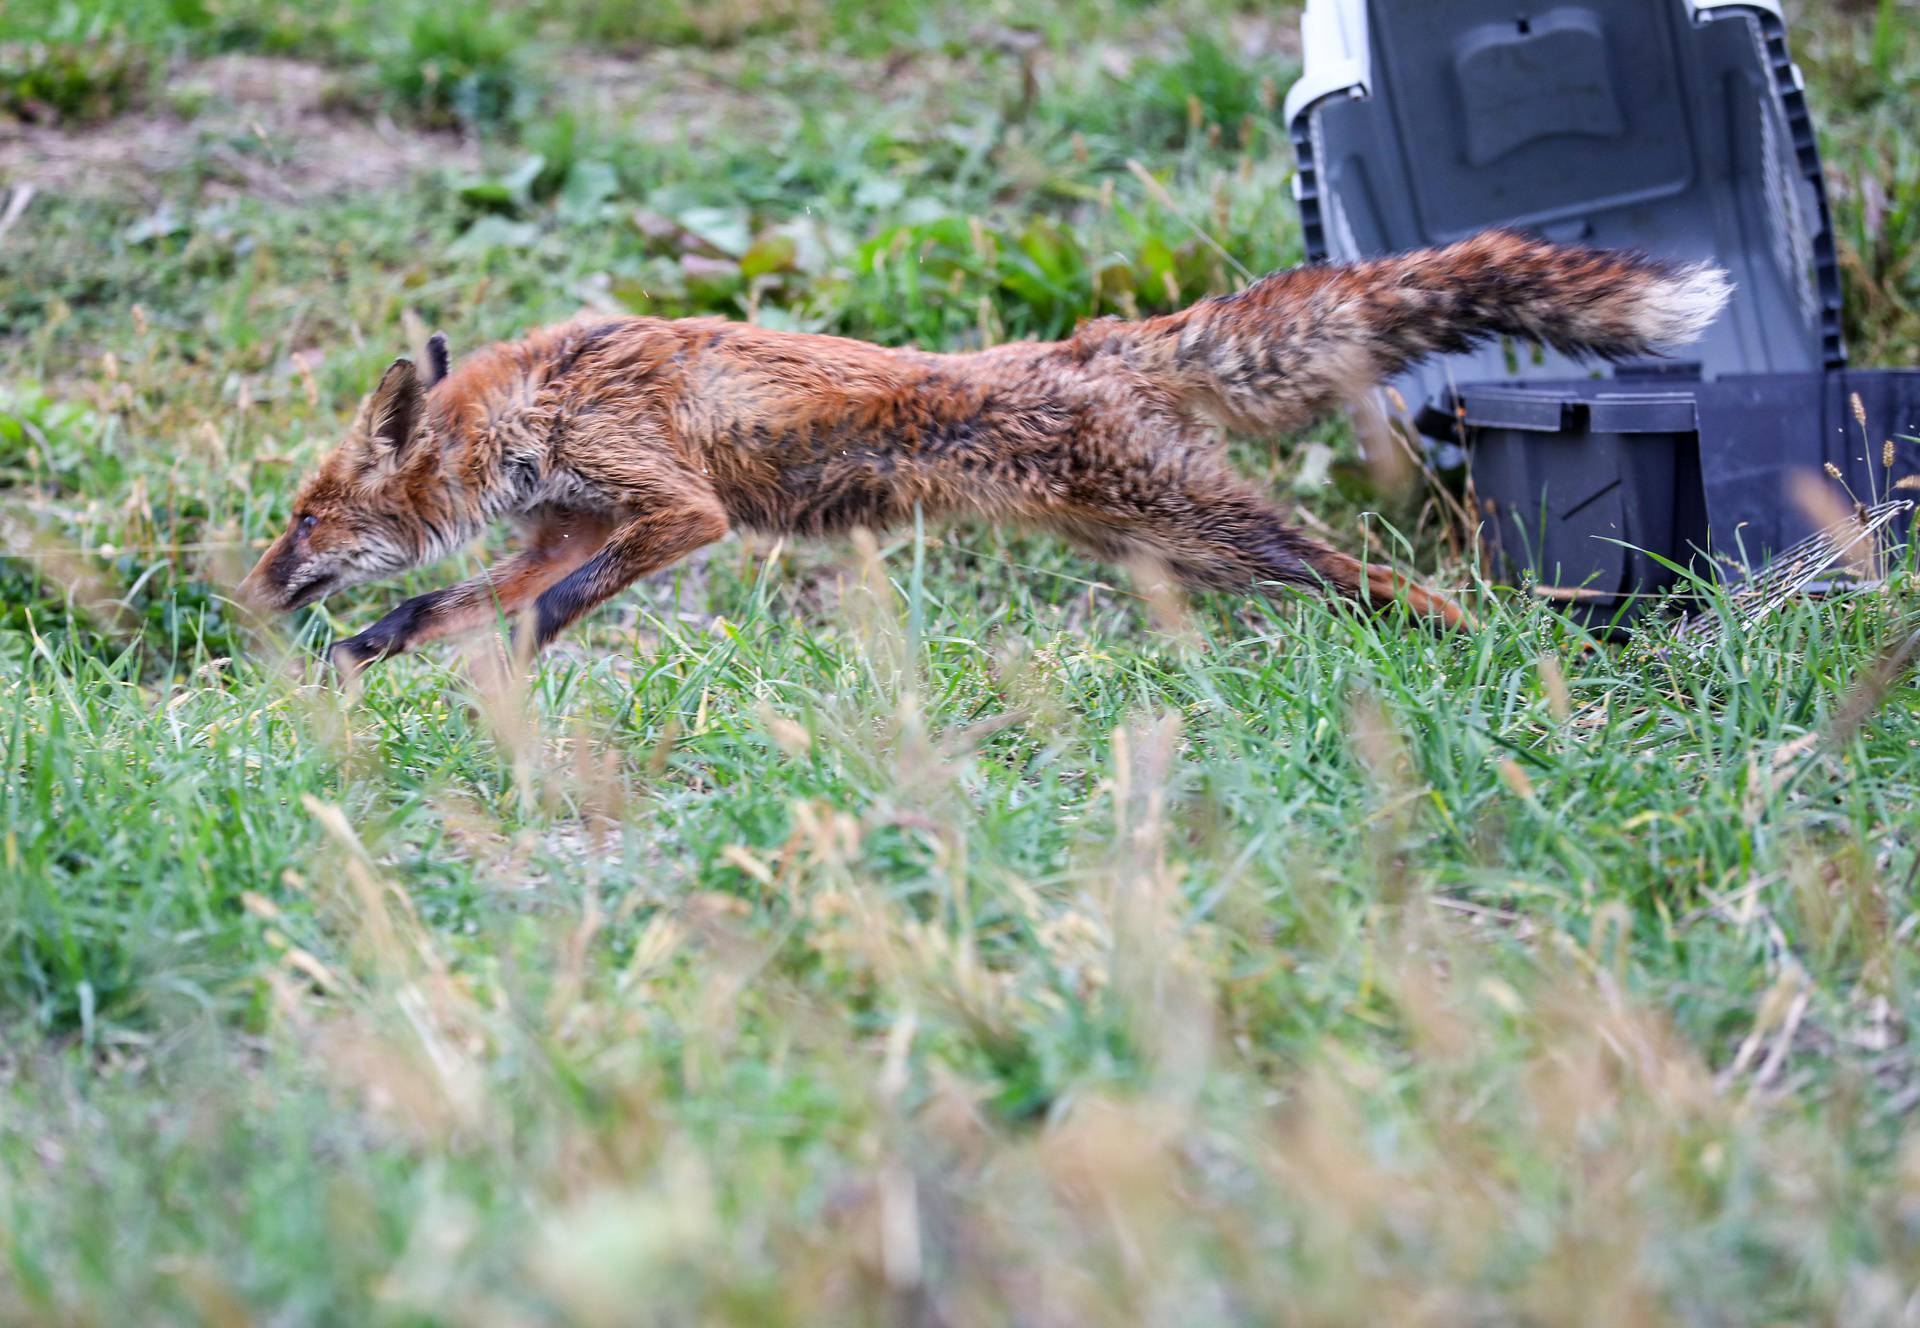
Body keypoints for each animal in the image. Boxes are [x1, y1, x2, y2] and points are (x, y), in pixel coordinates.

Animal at [236, 227, 1728, 675]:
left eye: (305, 516)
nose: (243, 592)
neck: (541, 408)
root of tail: (1091, 345)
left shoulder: (673, 510)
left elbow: (549, 602)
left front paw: (518, 659)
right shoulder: (574, 518)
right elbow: (454, 596)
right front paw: (377, 653)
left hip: (1208, 525)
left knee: (1389, 577)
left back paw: (1501, 650)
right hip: (1166, 543)